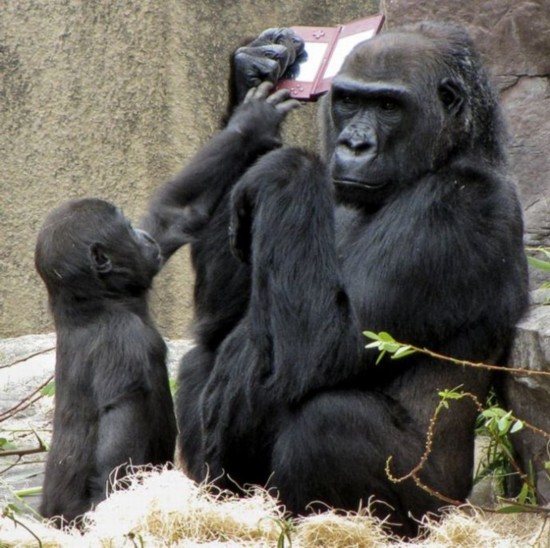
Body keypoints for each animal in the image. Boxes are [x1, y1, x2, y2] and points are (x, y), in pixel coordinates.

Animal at [143, 22, 532, 540]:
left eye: (388, 106)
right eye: (348, 100)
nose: (353, 145)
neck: (449, 153)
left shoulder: (458, 209)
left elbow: (323, 345)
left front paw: (284, 167)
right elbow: (220, 321)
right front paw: (251, 83)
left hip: (435, 509)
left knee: (329, 418)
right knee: (203, 355)